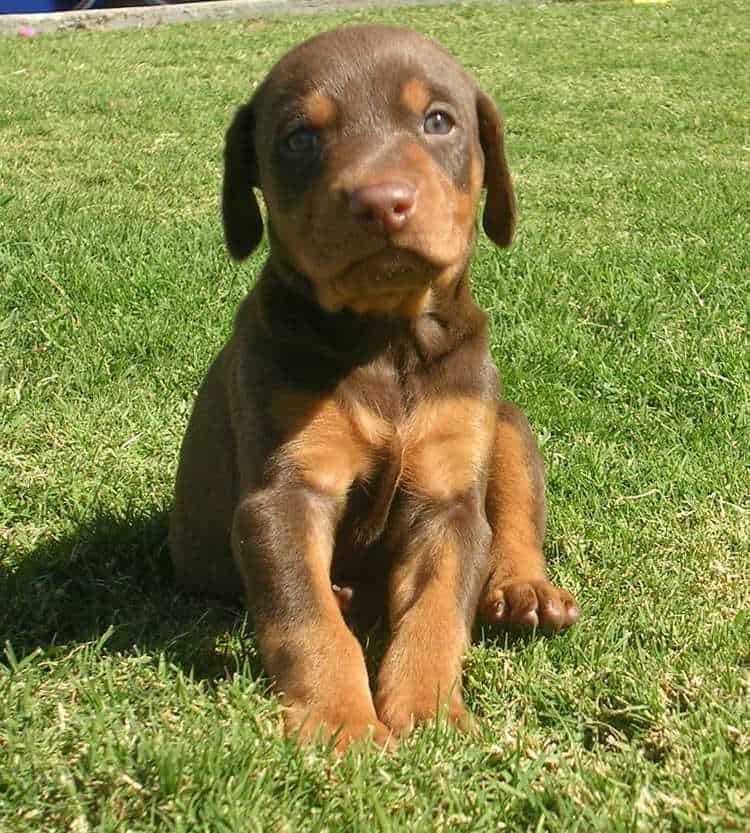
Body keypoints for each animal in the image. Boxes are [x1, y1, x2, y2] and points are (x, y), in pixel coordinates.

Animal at [170, 26, 580, 752]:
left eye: (438, 120)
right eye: (299, 137)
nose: (382, 201)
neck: (386, 339)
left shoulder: (447, 498)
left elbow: (439, 611)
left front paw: (429, 710)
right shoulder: (285, 494)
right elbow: (305, 619)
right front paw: (342, 722)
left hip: (505, 421)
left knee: (516, 516)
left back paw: (525, 589)